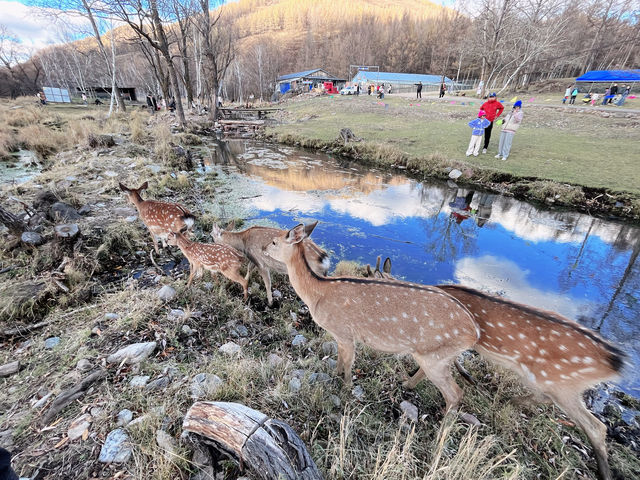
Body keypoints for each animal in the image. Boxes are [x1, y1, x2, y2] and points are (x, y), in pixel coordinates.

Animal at [262, 222, 480, 412]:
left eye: (274, 241)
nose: (263, 248)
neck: (317, 293)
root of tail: (475, 332)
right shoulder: (340, 336)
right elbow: (339, 358)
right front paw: (334, 375)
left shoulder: (344, 332)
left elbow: (348, 363)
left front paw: (346, 388)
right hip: (437, 356)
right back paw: (407, 385)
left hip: (436, 356)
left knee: (455, 394)